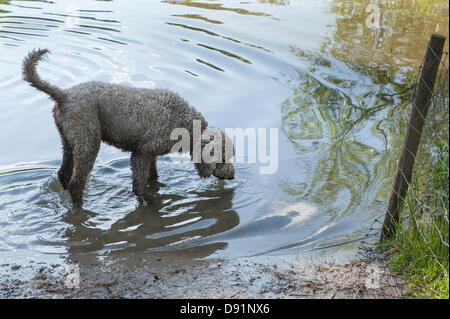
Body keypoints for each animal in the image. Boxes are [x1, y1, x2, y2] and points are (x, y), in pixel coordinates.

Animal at [22, 48, 234, 209]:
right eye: (223, 158)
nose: (232, 175)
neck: (184, 122)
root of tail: (63, 94)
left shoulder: (151, 154)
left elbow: (152, 176)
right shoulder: (141, 153)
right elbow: (138, 185)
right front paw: (148, 199)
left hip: (69, 141)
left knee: (64, 174)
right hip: (87, 142)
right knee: (75, 182)